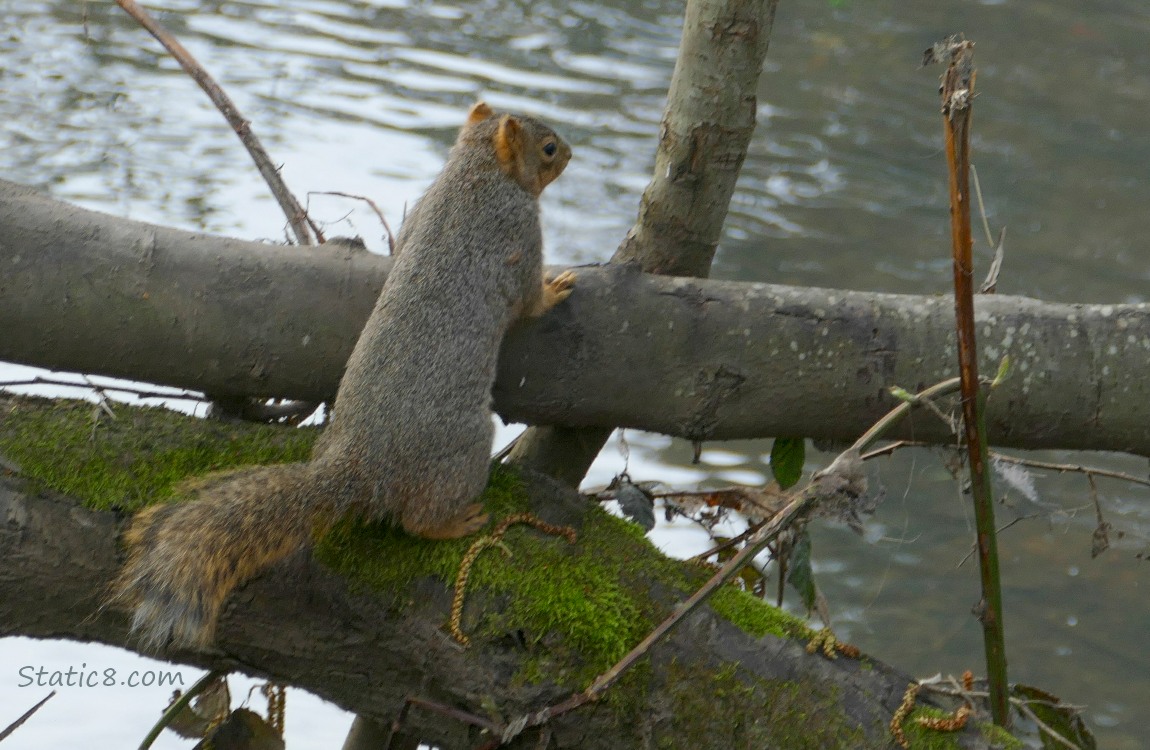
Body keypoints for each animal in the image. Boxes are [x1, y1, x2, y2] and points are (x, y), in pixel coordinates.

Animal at [112, 101, 575, 650]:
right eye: (548, 148)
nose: (570, 153)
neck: (472, 175)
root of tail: (360, 466)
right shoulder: (517, 232)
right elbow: (529, 298)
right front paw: (557, 286)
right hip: (461, 451)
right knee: (417, 520)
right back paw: (456, 521)